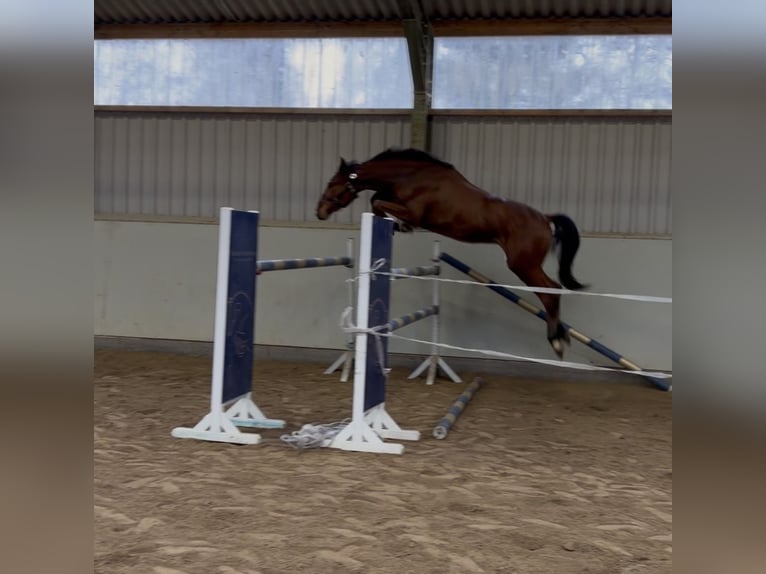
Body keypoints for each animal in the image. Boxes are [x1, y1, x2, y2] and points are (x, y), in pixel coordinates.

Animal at [316, 148, 587, 359]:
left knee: (550, 291)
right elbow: (377, 200)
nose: (319, 212)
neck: (410, 176)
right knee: (552, 291)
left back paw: (556, 341)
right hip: (526, 264)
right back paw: (562, 336)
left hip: (523, 264)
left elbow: (378, 202)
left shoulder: (414, 212)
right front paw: (393, 226)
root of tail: (544, 218)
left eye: (331, 184)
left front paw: (399, 226)